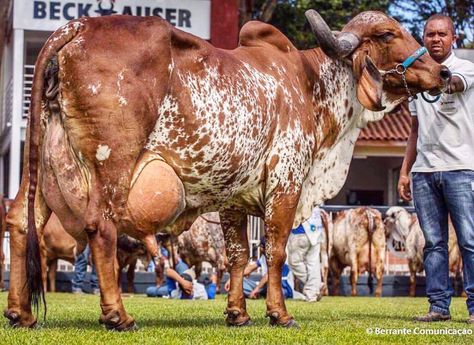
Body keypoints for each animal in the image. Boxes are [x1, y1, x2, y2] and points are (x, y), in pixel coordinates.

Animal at [4, 10, 448, 328]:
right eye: (389, 35)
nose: (441, 71)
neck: (312, 84)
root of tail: (76, 26)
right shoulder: (286, 179)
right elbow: (274, 252)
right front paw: (280, 314)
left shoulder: (234, 197)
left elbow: (237, 256)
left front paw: (238, 313)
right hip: (112, 162)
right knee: (101, 228)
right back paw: (118, 315)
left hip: (40, 162)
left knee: (22, 221)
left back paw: (20, 312)